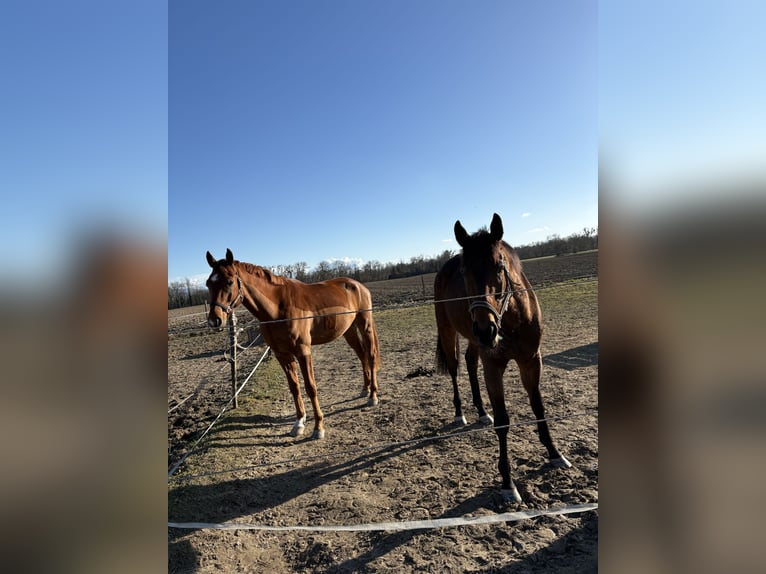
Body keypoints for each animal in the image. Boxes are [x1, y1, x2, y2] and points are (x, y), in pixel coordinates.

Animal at [206, 249, 382, 440]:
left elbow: (310, 387)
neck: (278, 309)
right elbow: (294, 387)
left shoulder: (303, 351)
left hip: (365, 326)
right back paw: (365, 389)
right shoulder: (282, 354)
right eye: (208, 284)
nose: (214, 320)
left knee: (371, 355)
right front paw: (299, 423)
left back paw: (373, 396)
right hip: (349, 331)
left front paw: (318, 427)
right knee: (362, 355)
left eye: (229, 282)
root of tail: (358, 285)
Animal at [436, 216, 572, 504]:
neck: (513, 320)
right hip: (448, 331)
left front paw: (555, 454)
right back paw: (460, 413)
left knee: (470, 362)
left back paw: (481, 411)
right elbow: (503, 421)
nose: (485, 330)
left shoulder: (531, 361)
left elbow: (538, 408)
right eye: (464, 273)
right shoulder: (493, 367)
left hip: (474, 342)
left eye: (499, 266)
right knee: (454, 368)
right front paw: (508, 483)